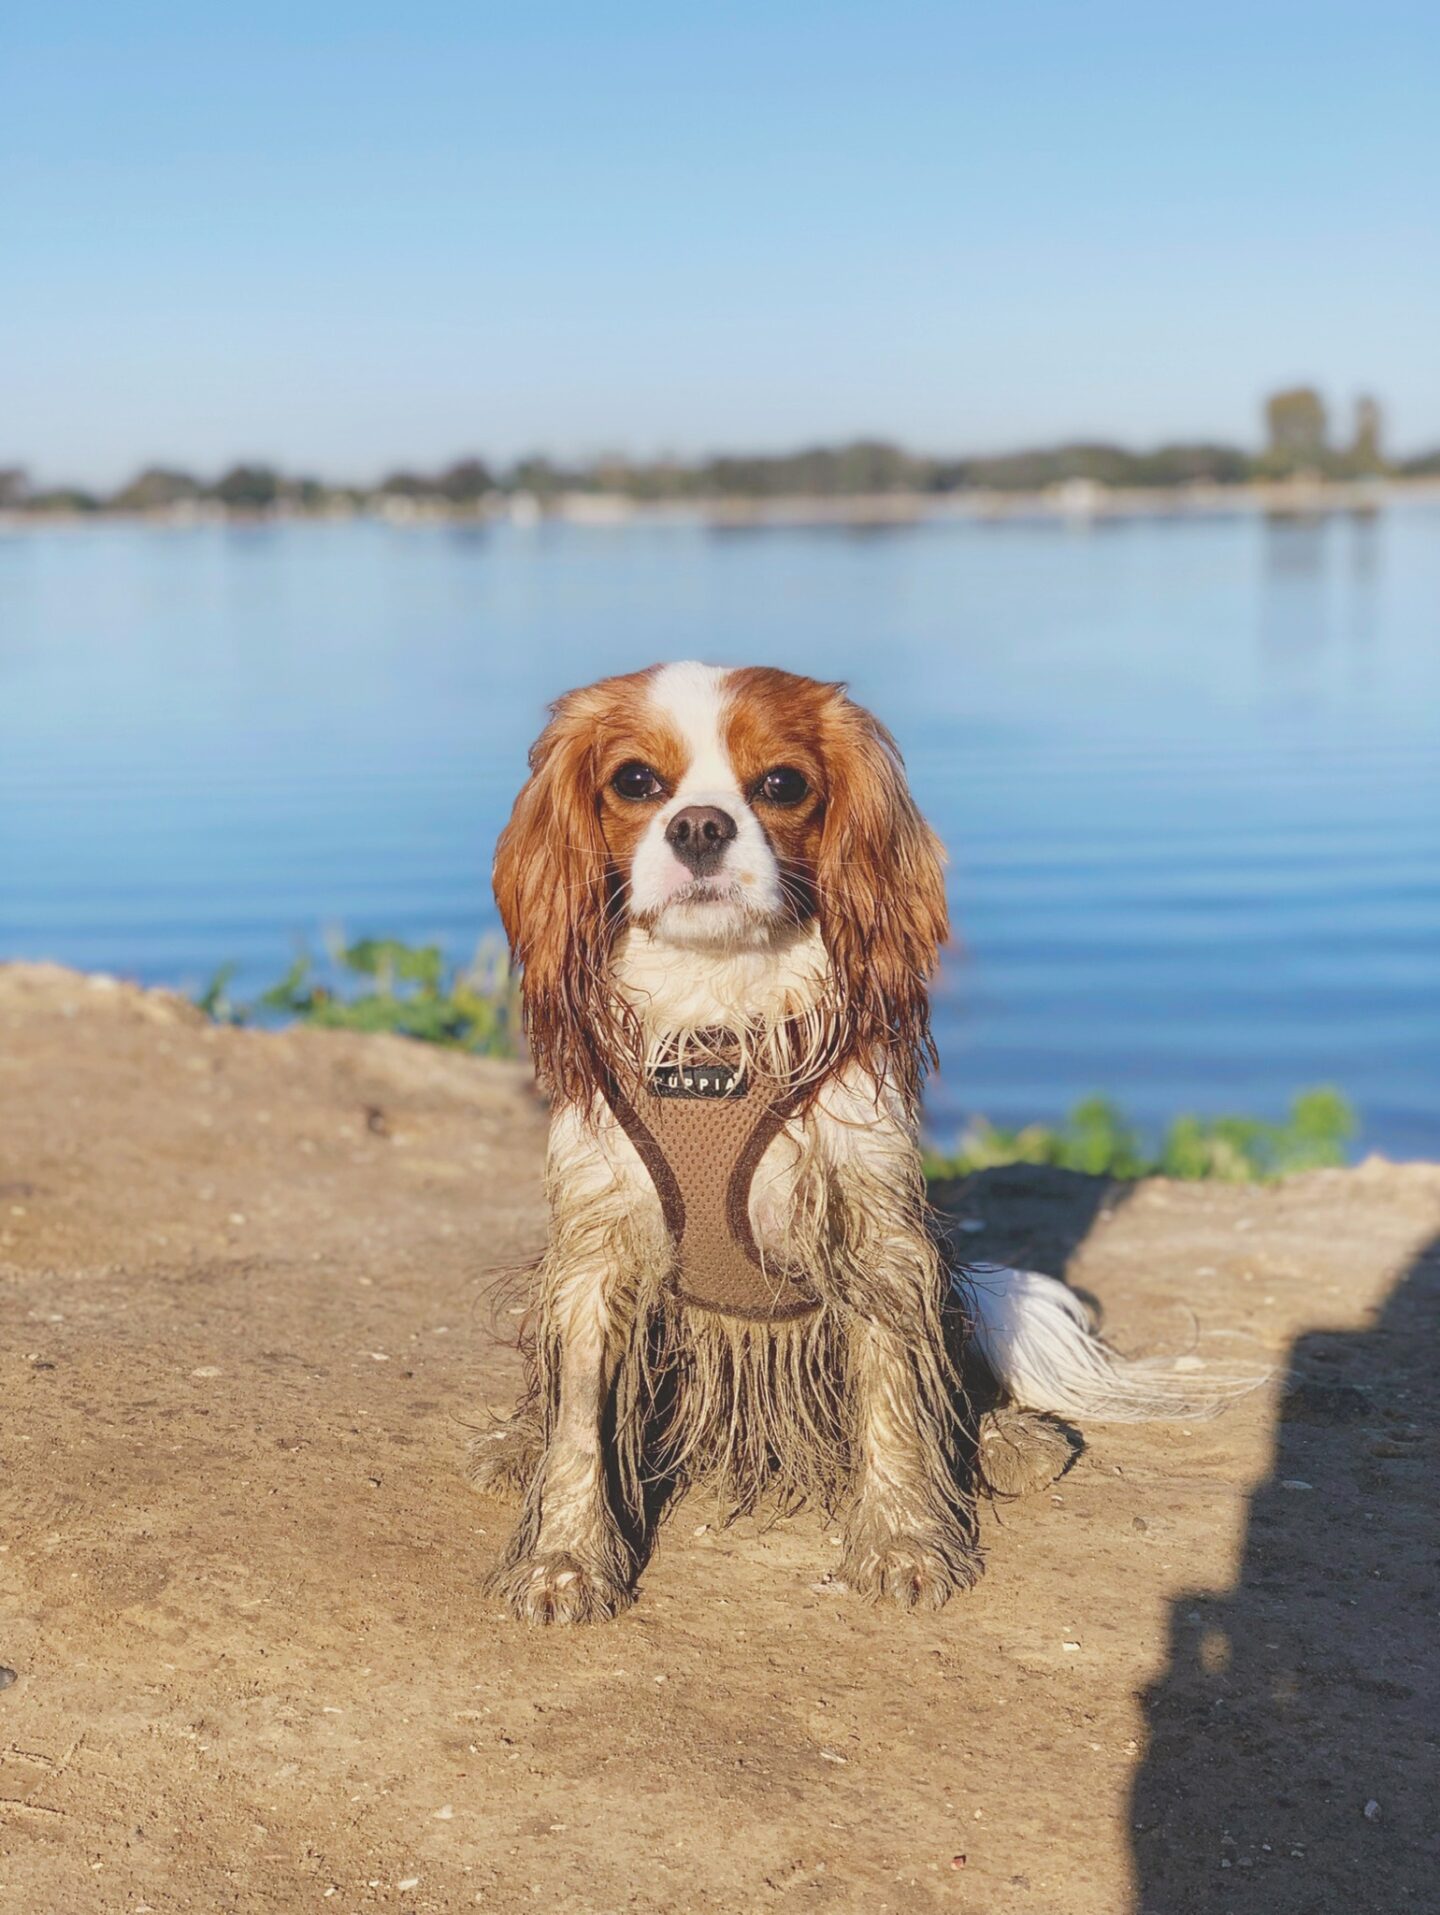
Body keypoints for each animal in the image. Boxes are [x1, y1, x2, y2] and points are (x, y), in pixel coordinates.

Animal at [478, 666, 1217, 1623]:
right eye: (636, 781)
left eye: (782, 783)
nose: (700, 825)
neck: (718, 1031)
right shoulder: (594, 1249)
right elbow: (577, 1421)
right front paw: (563, 1558)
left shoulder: (875, 1231)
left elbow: (895, 1388)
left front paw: (904, 1538)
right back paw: (514, 1444)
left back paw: (1005, 1437)